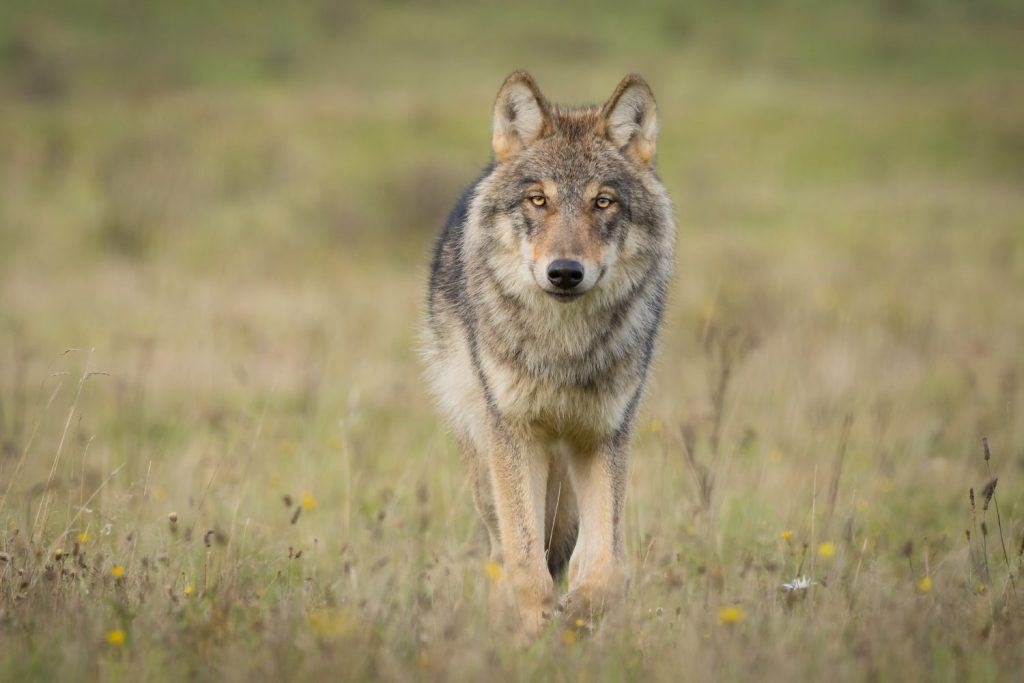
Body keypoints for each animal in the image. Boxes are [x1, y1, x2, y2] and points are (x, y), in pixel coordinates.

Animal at [422, 71, 675, 637]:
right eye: (538, 200)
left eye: (603, 202)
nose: (564, 272)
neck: (564, 351)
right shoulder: (515, 436)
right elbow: (525, 560)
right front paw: (538, 627)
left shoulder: (605, 436)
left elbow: (605, 565)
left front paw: (579, 615)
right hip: (485, 460)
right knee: (500, 550)